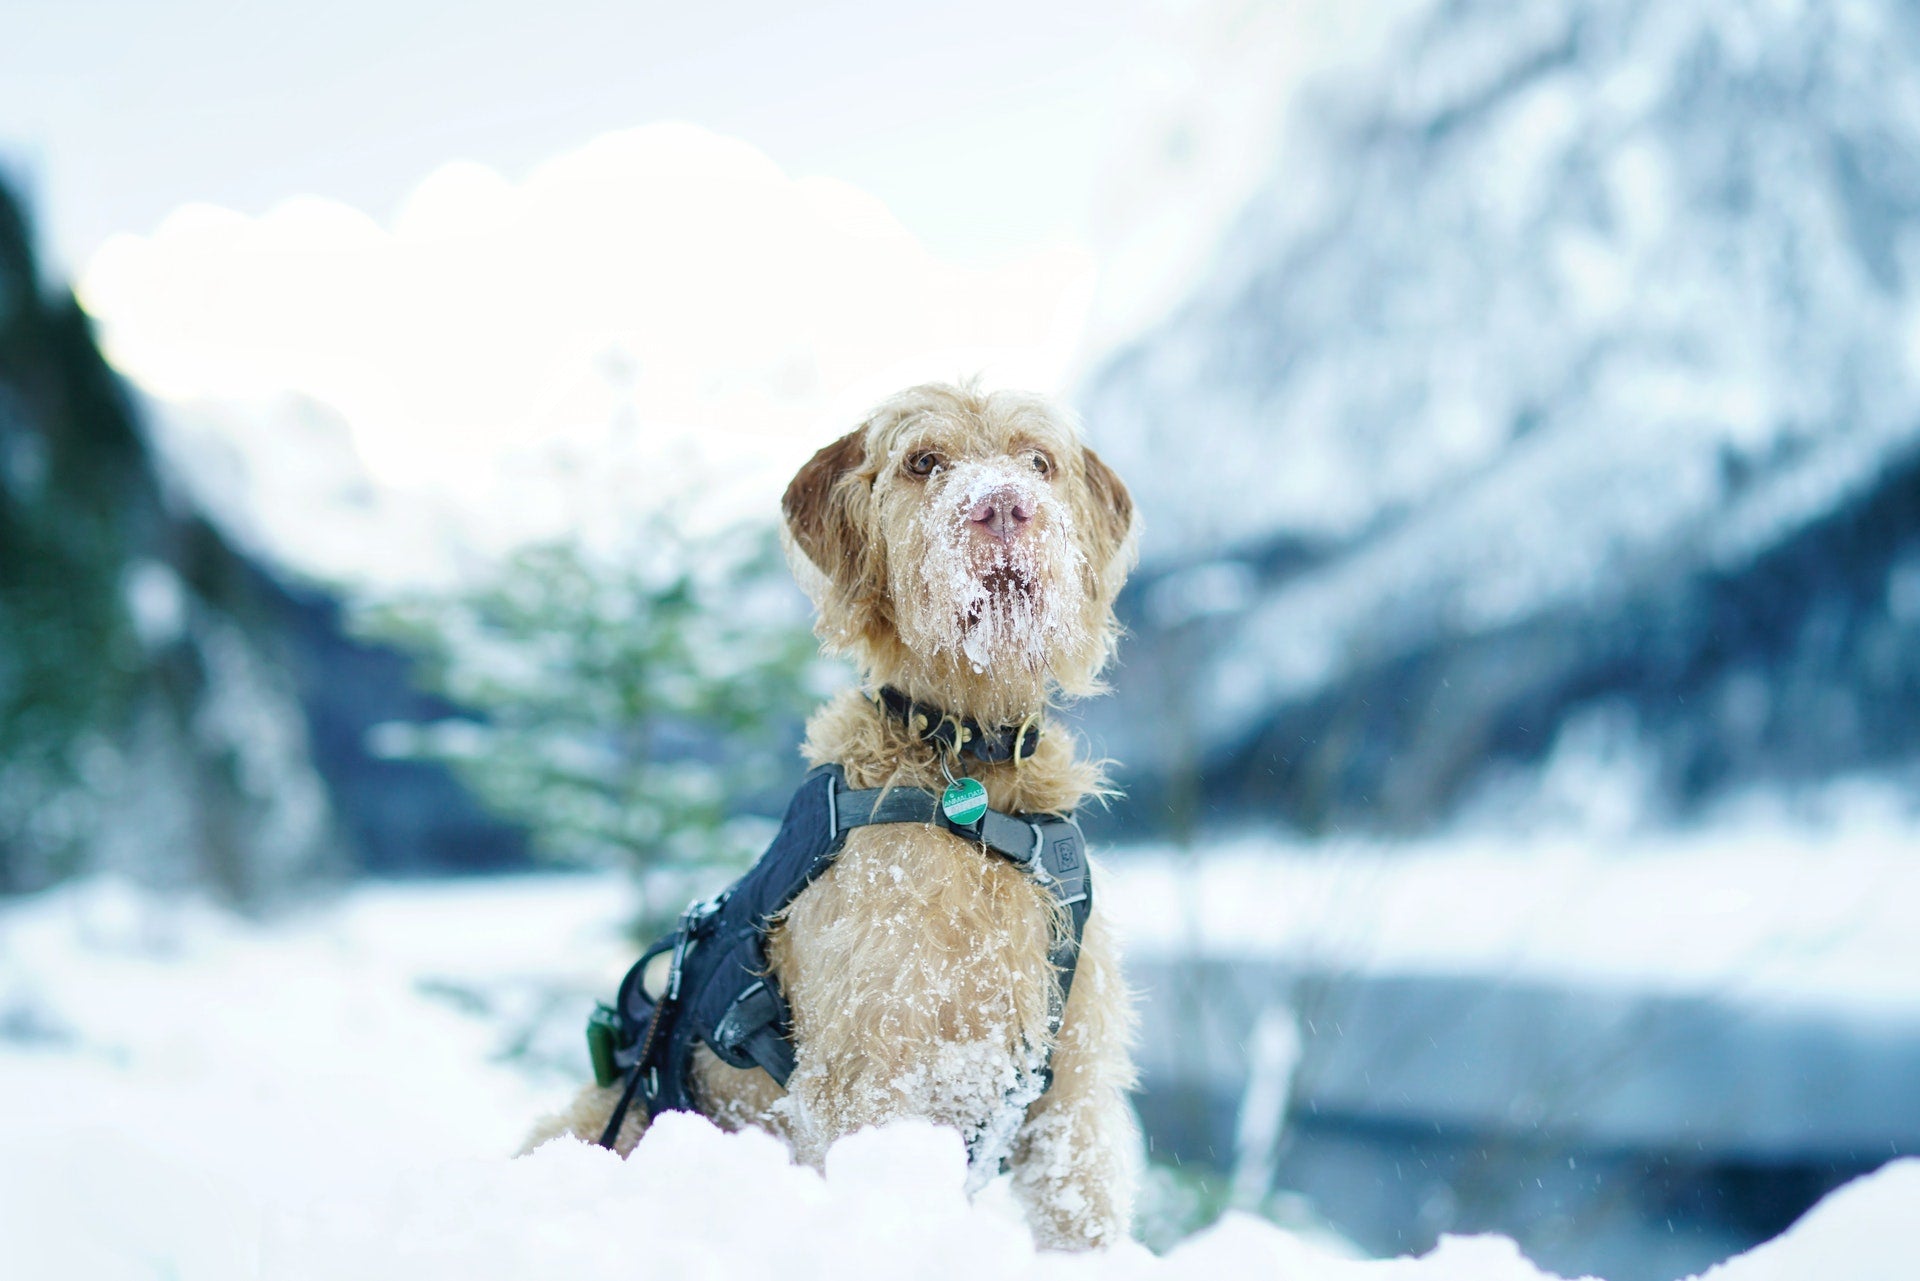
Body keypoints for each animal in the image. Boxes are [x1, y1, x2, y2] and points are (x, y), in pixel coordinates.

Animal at [526, 380, 1136, 1252]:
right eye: (924, 461)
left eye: (1038, 461)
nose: (1005, 506)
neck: (966, 765)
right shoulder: (870, 1067)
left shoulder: (1071, 1080)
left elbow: (1080, 1203)